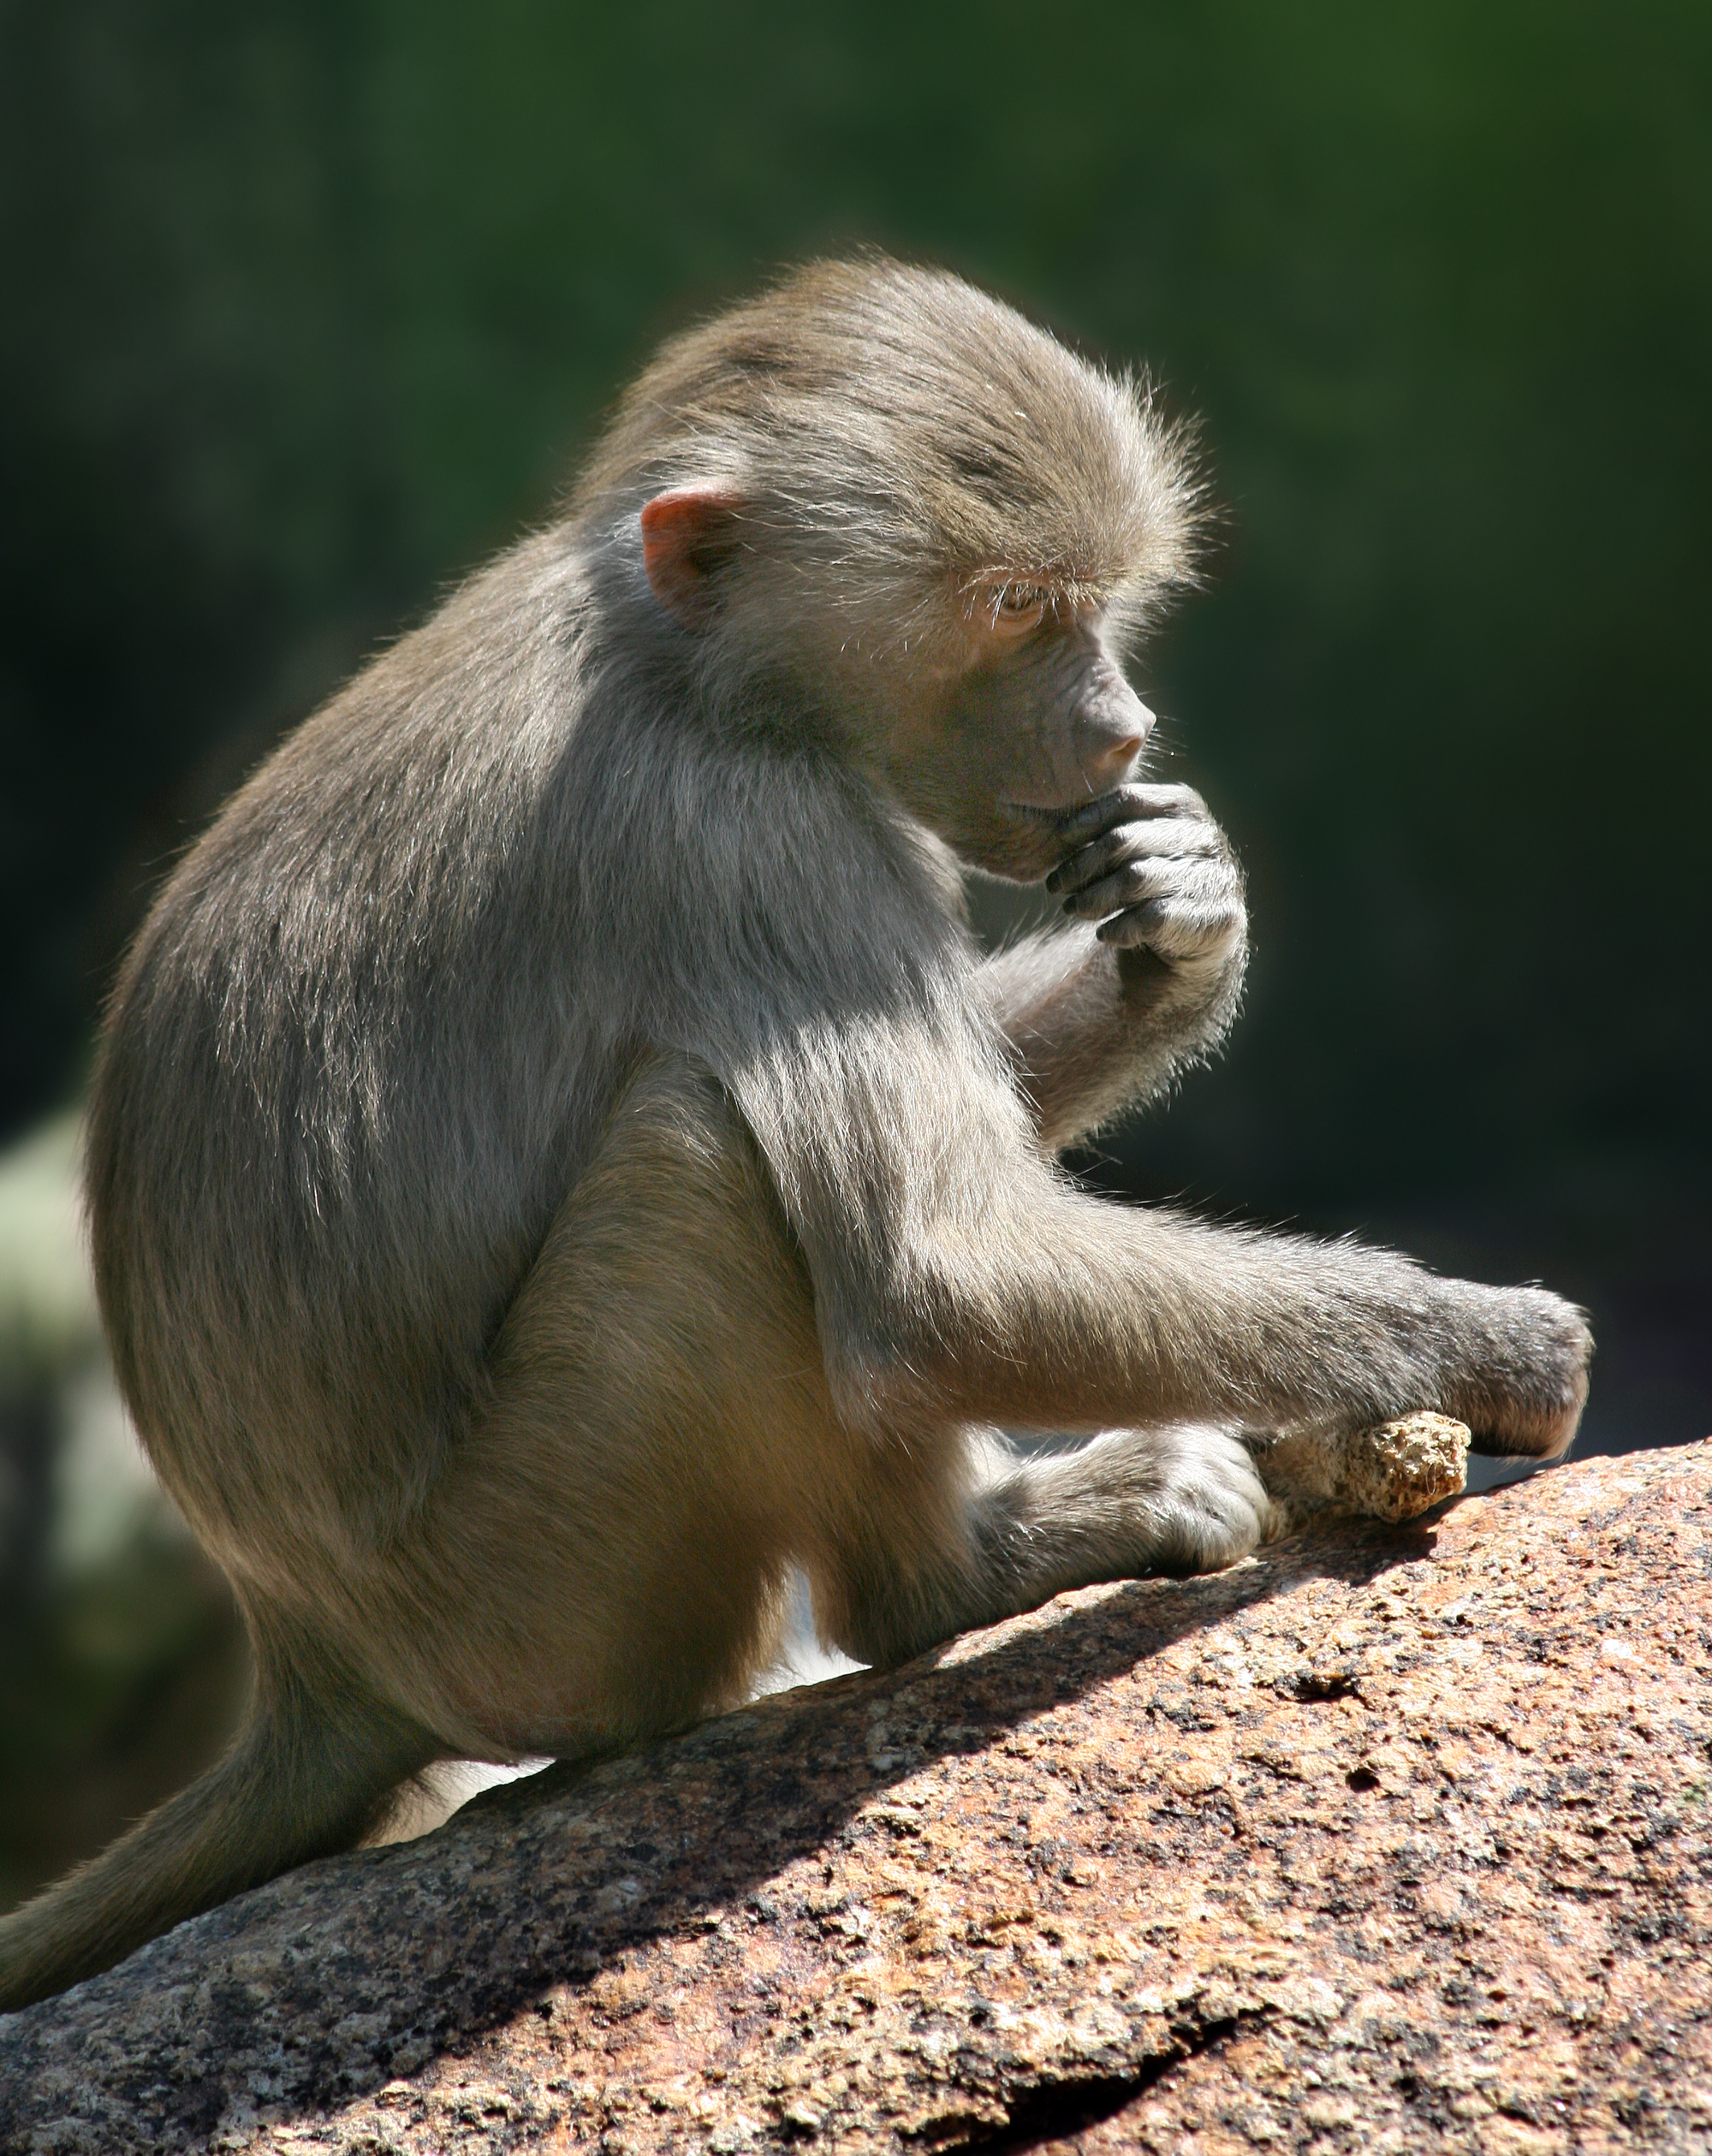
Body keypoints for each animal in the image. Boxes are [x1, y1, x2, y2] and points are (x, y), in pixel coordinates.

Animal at [0, 259, 1591, 2012]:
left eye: (1093, 600)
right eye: (1013, 606)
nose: (1122, 731)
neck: (687, 664)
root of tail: (314, 1652)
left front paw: (1182, 922)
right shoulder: (756, 830)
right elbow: (943, 1272)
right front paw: (1495, 1340)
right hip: (548, 1589)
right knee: (708, 1158)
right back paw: (976, 1568)